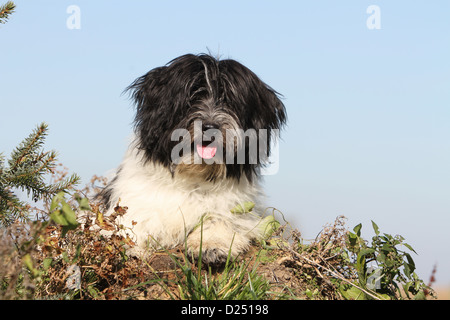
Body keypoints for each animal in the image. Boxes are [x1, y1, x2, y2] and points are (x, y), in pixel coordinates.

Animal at [100, 53, 286, 264]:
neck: (191, 178)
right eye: (192, 97)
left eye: (230, 102)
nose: (210, 126)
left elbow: (218, 218)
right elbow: (130, 224)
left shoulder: (236, 209)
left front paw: (212, 244)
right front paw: (129, 247)